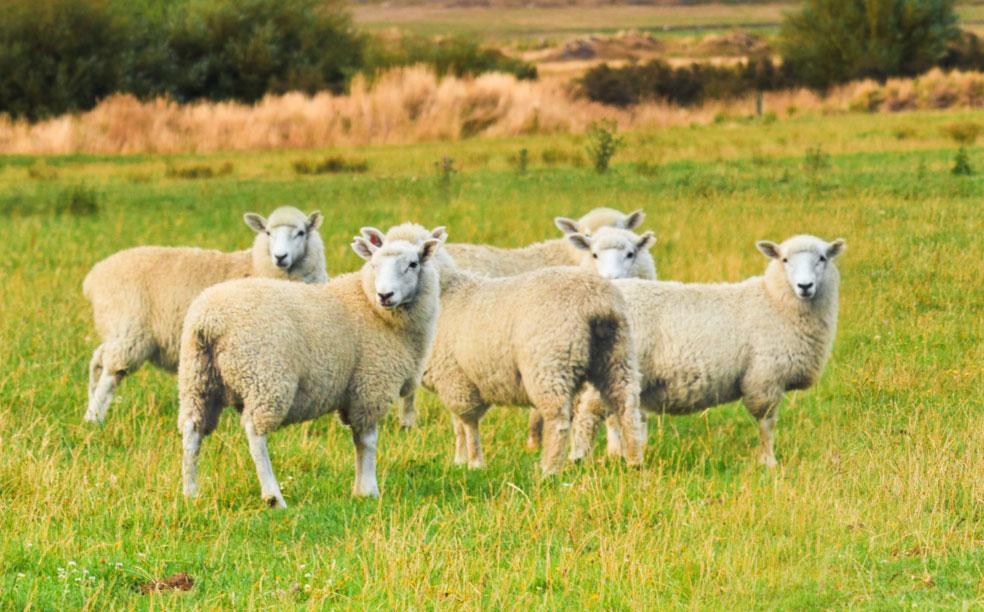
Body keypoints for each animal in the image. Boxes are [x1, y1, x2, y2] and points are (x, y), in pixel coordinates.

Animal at [81, 208, 326, 424]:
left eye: (301, 232)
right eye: (267, 233)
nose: (280, 257)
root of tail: (94, 276)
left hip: (117, 329)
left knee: (98, 360)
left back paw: (92, 407)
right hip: (129, 329)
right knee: (112, 372)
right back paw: (94, 418)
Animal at [177, 226, 442, 506]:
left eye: (413, 264)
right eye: (374, 264)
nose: (385, 295)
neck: (370, 306)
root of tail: (209, 319)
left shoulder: (356, 392)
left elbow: (358, 440)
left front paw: (359, 490)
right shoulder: (371, 386)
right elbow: (368, 440)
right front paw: (369, 490)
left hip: (198, 377)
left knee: (192, 430)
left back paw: (190, 492)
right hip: (265, 376)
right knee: (255, 434)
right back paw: (273, 496)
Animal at [362, 222, 644, 476]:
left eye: (413, 263)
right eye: (374, 263)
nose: (384, 295)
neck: (446, 293)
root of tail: (595, 301)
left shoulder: (456, 376)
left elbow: (468, 421)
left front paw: (475, 463)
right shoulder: (454, 377)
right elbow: (458, 424)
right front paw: (460, 459)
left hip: (550, 363)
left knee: (558, 418)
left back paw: (549, 469)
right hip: (617, 355)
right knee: (627, 406)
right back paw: (633, 461)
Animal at [568, 237, 844, 466]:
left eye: (822, 258)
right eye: (785, 260)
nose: (805, 286)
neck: (773, 300)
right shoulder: (765, 377)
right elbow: (767, 423)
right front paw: (768, 462)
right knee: (589, 412)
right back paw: (580, 457)